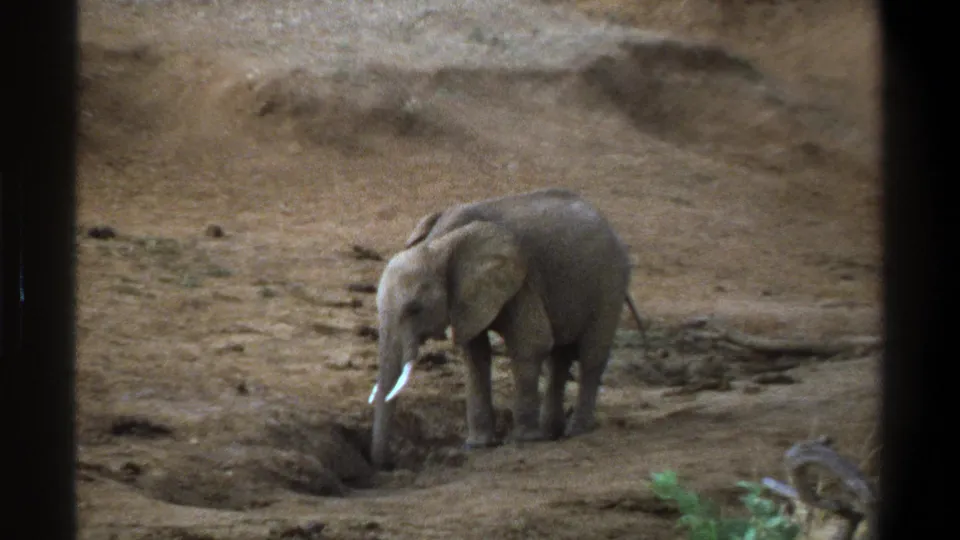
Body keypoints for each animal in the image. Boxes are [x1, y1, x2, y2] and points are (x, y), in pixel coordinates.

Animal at [367, 188, 645, 469]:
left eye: (414, 309)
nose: (388, 464)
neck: (438, 244)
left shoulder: (521, 282)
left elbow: (531, 343)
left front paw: (523, 440)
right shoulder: (467, 297)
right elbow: (475, 355)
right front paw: (477, 445)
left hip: (610, 283)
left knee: (591, 355)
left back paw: (576, 431)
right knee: (560, 358)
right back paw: (551, 432)